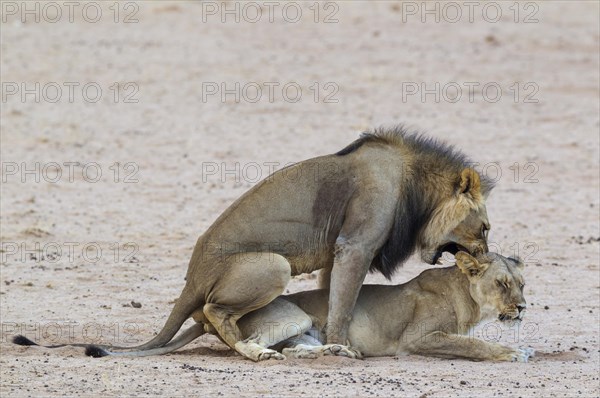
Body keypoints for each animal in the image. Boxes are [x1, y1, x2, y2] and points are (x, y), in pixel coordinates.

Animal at [14, 126, 494, 360]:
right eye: (485, 229)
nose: (488, 258)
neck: (415, 186)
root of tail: (191, 278)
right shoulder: (356, 244)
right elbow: (342, 304)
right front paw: (343, 349)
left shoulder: (338, 252)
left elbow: (335, 298)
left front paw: (333, 342)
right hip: (273, 265)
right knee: (215, 312)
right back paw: (256, 351)